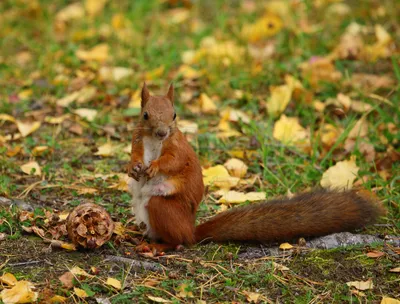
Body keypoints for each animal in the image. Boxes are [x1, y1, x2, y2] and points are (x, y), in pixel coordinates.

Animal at [128, 82, 384, 253]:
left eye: (174, 115)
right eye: (145, 114)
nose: (162, 132)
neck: (155, 142)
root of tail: (191, 230)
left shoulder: (178, 149)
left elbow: (173, 162)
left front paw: (155, 167)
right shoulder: (138, 142)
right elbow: (135, 156)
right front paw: (133, 168)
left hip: (163, 208)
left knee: (179, 241)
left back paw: (160, 247)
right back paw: (144, 240)